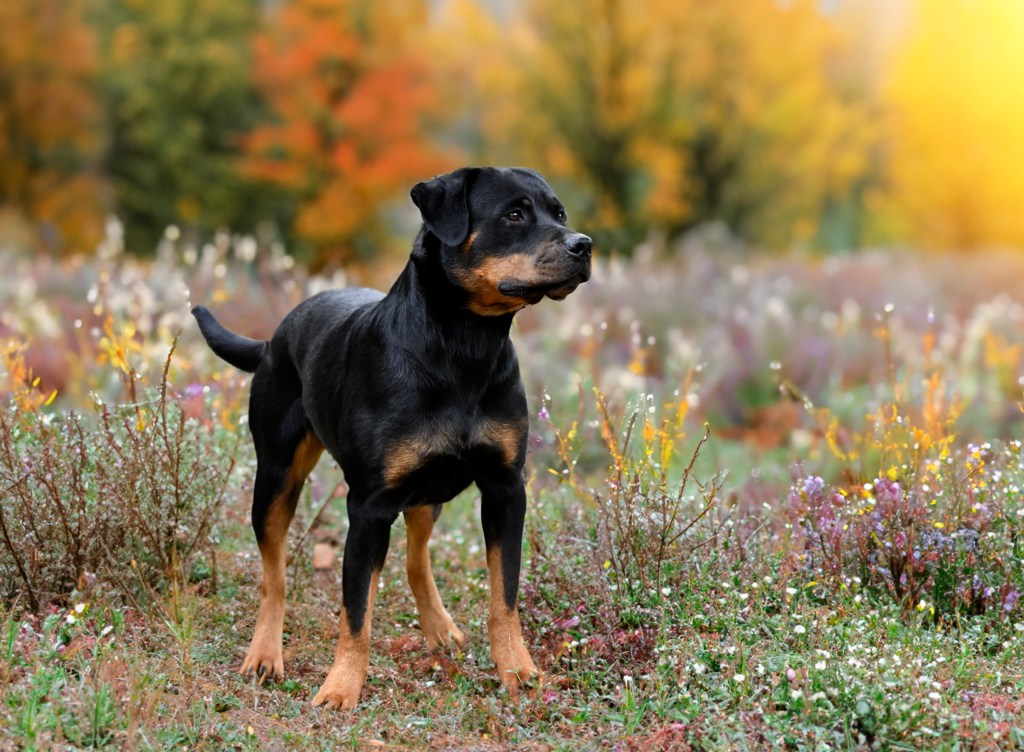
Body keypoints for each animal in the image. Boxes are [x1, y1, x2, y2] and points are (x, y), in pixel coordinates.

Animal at [192, 168, 593, 708]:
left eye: (560, 213)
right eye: (514, 214)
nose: (584, 245)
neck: (463, 348)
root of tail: (274, 338)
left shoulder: (506, 488)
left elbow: (503, 596)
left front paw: (518, 671)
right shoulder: (369, 506)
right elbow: (356, 612)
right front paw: (340, 689)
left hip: (425, 492)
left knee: (416, 560)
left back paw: (440, 628)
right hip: (275, 477)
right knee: (273, 576)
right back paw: (264, 655)